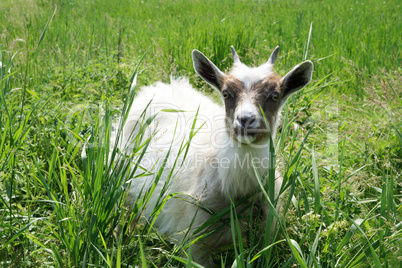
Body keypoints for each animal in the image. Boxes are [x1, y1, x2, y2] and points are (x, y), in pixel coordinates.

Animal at [119, 46, 314, 266]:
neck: (238, 190)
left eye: (274, 96)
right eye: (226, 93)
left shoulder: (266, 234)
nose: (245, 120)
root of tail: (159, 87)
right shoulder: (194, 239)